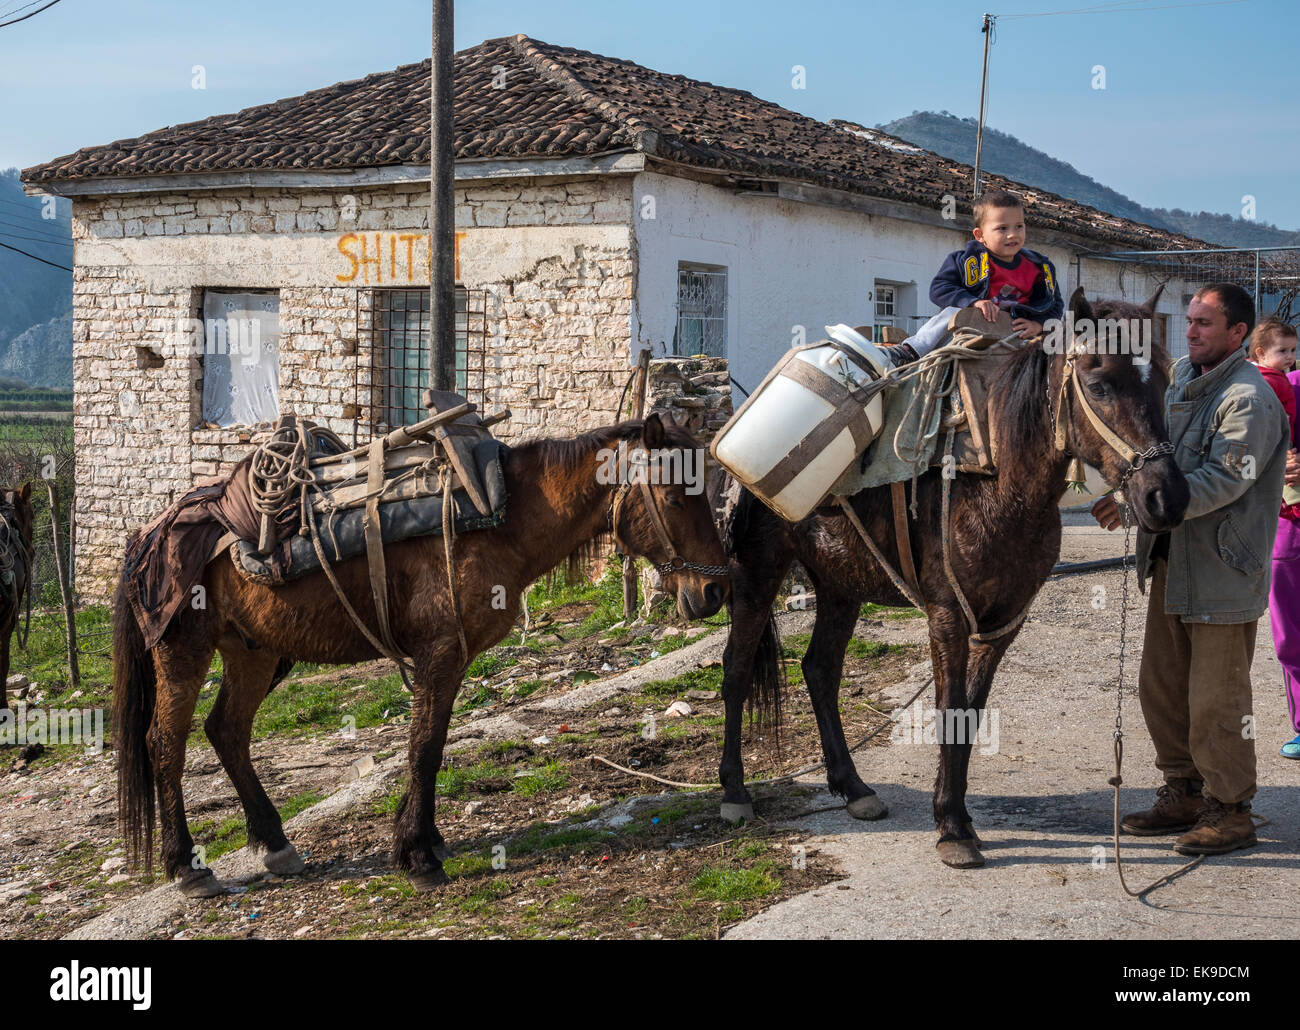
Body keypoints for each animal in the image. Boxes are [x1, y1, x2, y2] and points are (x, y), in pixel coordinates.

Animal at [116, 410, 733, 894]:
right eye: (675, 496)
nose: (714, 591)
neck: (496, 517)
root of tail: (152, 532)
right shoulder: (439, 656)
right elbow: (424, 748)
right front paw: (416, 854)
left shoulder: (452, 660)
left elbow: (431, 745)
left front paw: (427, 840)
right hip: (184, 652)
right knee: (165, 743)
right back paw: (186, 867)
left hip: (253, 651)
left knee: (226, 731)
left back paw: (275, 845)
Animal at [717, 287, 1190, 868]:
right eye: (1099, 384)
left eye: (1164, 380)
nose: (1166, 497)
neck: (1000, 481)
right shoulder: (947, 616)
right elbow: (949, 710)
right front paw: (950, 827)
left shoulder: (1003, 622)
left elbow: (970, 713)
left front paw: (957, 818)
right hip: (756, 571)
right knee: (737, 670)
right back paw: (735, 792)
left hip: (840, 583)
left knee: (820, 670)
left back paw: (853, 787)